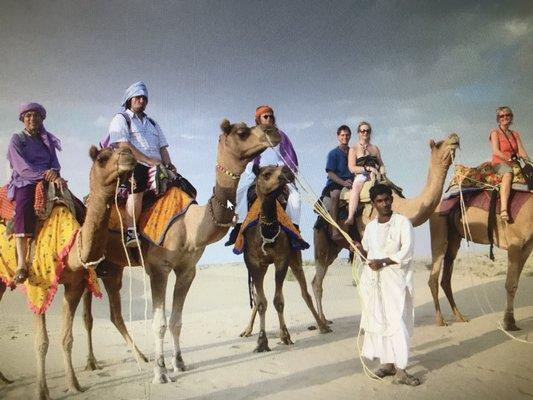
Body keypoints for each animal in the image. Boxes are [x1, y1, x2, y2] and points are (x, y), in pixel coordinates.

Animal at [0, 147, 135, 400]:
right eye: (102, 158)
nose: (129, 155)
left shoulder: (75, 285)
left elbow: (67, 338)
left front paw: (73, 385)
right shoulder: (37, 286)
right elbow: (41, 342)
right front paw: (41, 391)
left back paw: (4, 379)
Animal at [81, 120, 280, 382]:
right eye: (241, 132)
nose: (273, 130)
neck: (189, 225)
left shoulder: (187, 270)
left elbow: (176, 321)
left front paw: (179, 363)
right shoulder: (158, 268)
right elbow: (159, 323)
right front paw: (160, 372)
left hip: (113, 267)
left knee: (115, 314)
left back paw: (139, 357)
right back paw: (92, 363)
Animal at [238, 164, 328, 352]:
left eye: (279, 167)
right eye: (266, 174)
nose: (287, 171)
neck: (266, 233)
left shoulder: (282, 260)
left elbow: (278, 300)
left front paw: (285, 336)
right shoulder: (253, 263)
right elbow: (261, 302)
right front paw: (261, 341)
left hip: (295, 257)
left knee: (305, 293)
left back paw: (323, 326)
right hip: (263, 266)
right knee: (256, 299)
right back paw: (246, 330)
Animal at [314, 133, 460, 326]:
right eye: (440, 143)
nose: (454, 137)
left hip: (333, 249)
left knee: (317, 278)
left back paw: (324, 321)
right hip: (320, 240)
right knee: (317, 280)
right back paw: (322, 325)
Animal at [428, 192, 532, 330]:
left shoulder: (527, 246)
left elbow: (515, 284)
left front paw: (511, 322)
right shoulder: (515, 242)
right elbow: (510, 284)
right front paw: (509, 323)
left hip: (454, 236)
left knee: (446, 275)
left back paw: (460, 317)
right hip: (438, 227)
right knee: (434, 274)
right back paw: (440, 321)